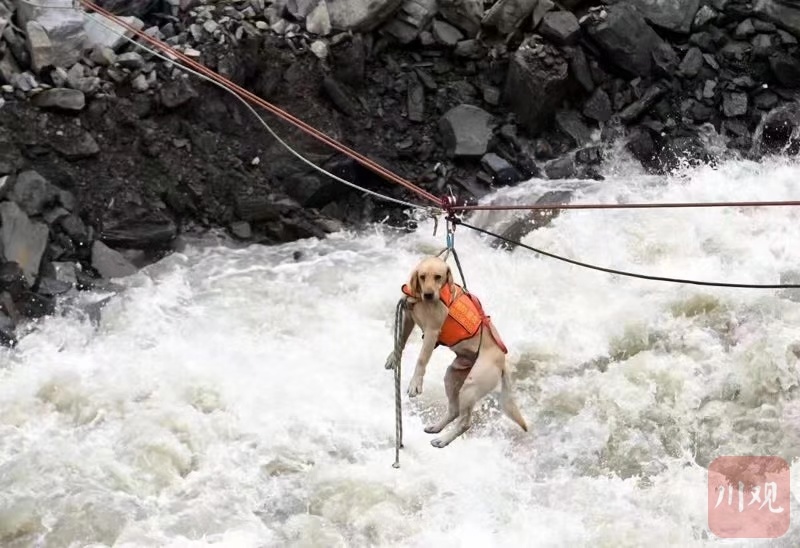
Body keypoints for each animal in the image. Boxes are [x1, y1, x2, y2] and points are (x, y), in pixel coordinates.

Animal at [386, 255, 528, 448]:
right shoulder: (408, 318)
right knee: (454, 411)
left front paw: (415, 383)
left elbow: (421, 360)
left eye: (438, 277)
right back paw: (436, 428)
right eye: (422, 277)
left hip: (471, 386)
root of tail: (502, 363)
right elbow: (400, 341)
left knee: (465, 422)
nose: (429, 295)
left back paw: (443, 440)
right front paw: (393, 358)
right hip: (452, 376)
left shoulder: (432, 332)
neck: (422, 299)